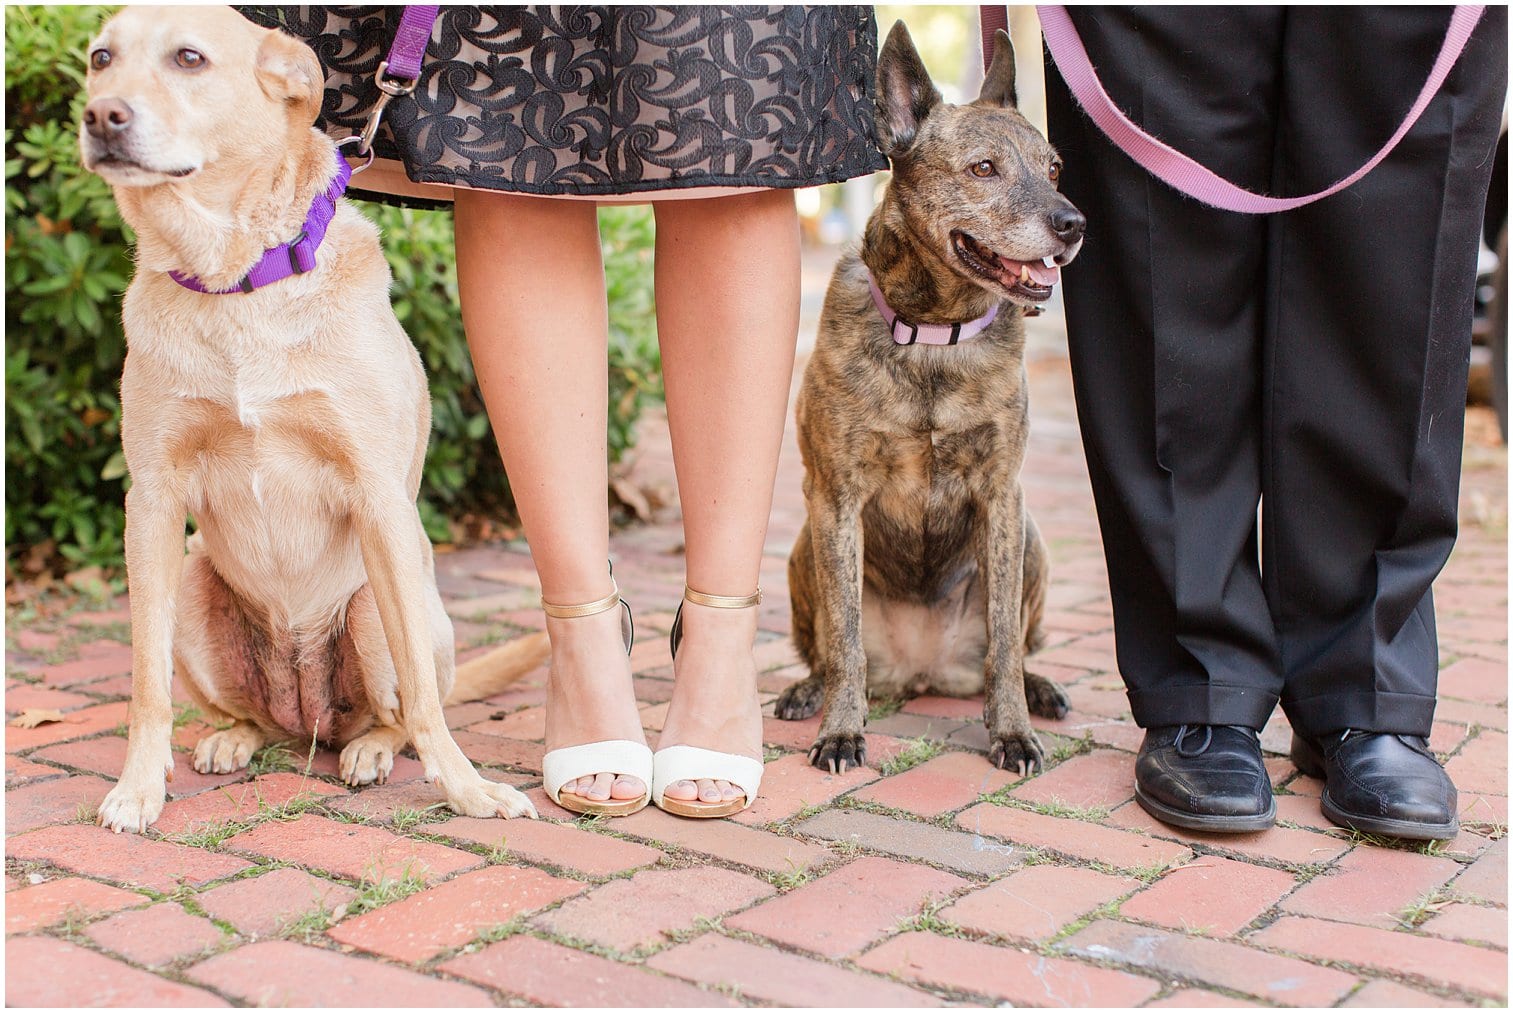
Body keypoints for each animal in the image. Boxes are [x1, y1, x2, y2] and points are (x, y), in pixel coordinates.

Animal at [780, 21, 1089, 780]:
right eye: (983, 169)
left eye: (1054, 169)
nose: (1072, 223)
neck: (933, 337)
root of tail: (923, 674)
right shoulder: (836, 496)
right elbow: (845, 638)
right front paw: (841, 730)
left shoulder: (1002, 496)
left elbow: (1005, 638)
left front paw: (1011, 731)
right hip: (804, 545)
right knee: (828, 649)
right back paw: (809, 691)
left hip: (1032, 540)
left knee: (1012, 649)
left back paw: (1039, 689)